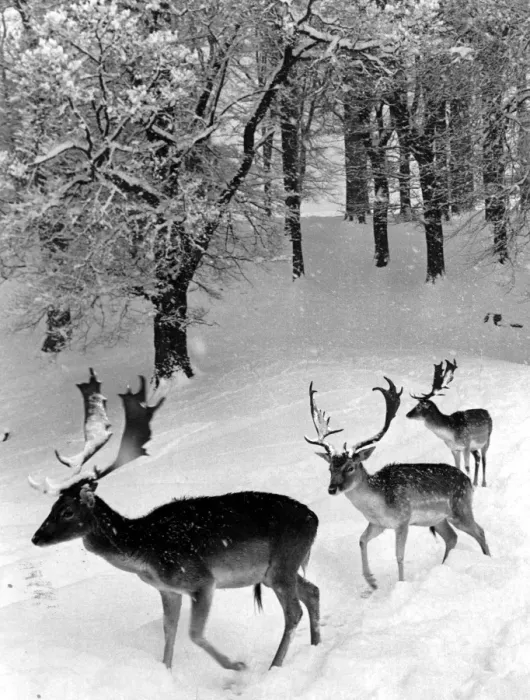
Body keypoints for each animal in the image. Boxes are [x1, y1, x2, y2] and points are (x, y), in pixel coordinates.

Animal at [30, 369, 320, 672]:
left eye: (67, 511)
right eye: (52, 505)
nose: (36, 537)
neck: (145, 551)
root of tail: (314, 519)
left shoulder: (201, 580)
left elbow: (194, 633)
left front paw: (236, 666)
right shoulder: (169, 590)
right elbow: (169, 631)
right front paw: (166, 671)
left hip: (282, 565)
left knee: (294, 611)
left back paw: (274, 666)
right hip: (275, 571)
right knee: (313, 591)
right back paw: (315, 645)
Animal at [304, 378, 490, 590]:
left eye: (350, 467)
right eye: (330, 468)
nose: (332, 488)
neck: (378, 504)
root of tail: (467, 481)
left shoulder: (403, 520)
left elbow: (399, 555)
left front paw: (400, 584)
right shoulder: (377, 524)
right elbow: (361, 540)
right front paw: (371, 581)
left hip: (460, 508)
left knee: (479, 531)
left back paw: (488, 559)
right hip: (438, 519)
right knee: (452, 537)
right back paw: (444, 566)